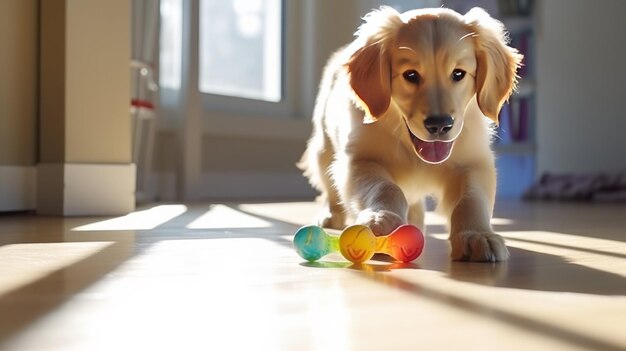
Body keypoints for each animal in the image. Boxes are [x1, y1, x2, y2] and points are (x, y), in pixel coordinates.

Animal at [298, 6, 520, 262]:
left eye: (458, 74)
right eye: (411, 75)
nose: (439, 125)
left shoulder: (473, 163)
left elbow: (472, 199)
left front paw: (477, 235)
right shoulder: (359, 159)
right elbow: (385, 187)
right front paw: (381, 219)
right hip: (323, 150)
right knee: (329, 184)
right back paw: (331, 213)